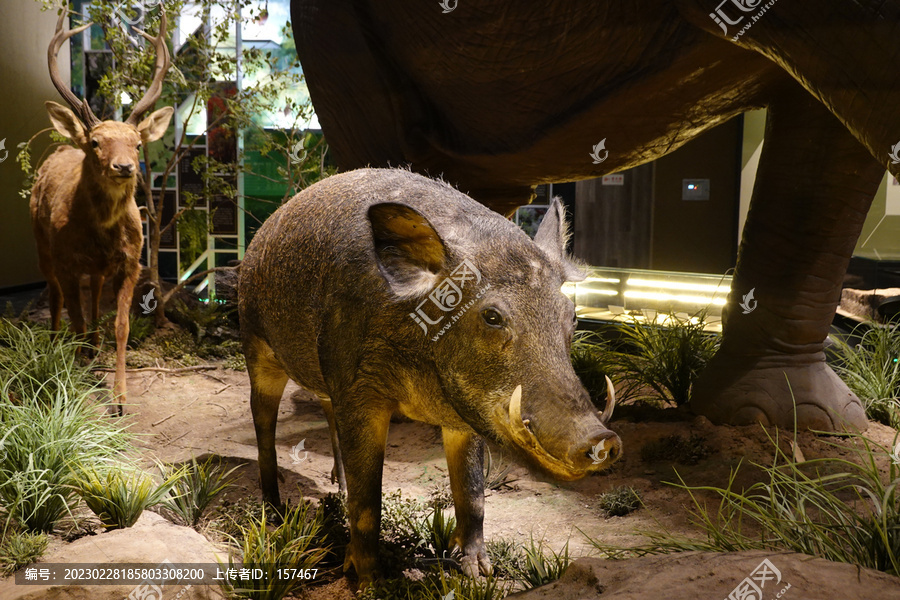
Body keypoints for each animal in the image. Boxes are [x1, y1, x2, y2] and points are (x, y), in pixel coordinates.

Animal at [29, 7, 173, 414]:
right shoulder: (65, 258)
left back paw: (93, 346)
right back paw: (57, 344)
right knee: (55, 295)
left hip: (97, 268)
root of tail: (63, 146)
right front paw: (72, 384)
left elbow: (121, 326)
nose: (124, 167)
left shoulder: (131, 262)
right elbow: (73, 314)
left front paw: (121, 399)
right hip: (41, 243)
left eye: (137, 143)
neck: (102, 232)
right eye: (95, 142)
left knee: (93, 294)